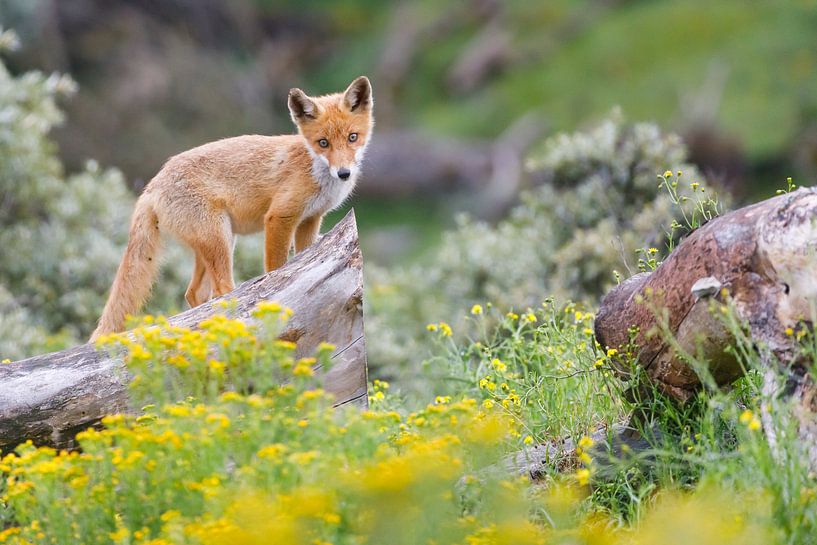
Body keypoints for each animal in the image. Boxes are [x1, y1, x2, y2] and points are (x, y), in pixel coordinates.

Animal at [90, 75, 372, 340]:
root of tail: (151, 186)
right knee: (222, 291)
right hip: (219, 240)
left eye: (352, 138)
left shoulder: (310, 219)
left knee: (194, 294)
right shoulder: (280, 217)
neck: (315, 172)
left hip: (218, 242)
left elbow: (308, 261)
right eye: (323, 143)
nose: (344, 173)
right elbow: (277, 273)